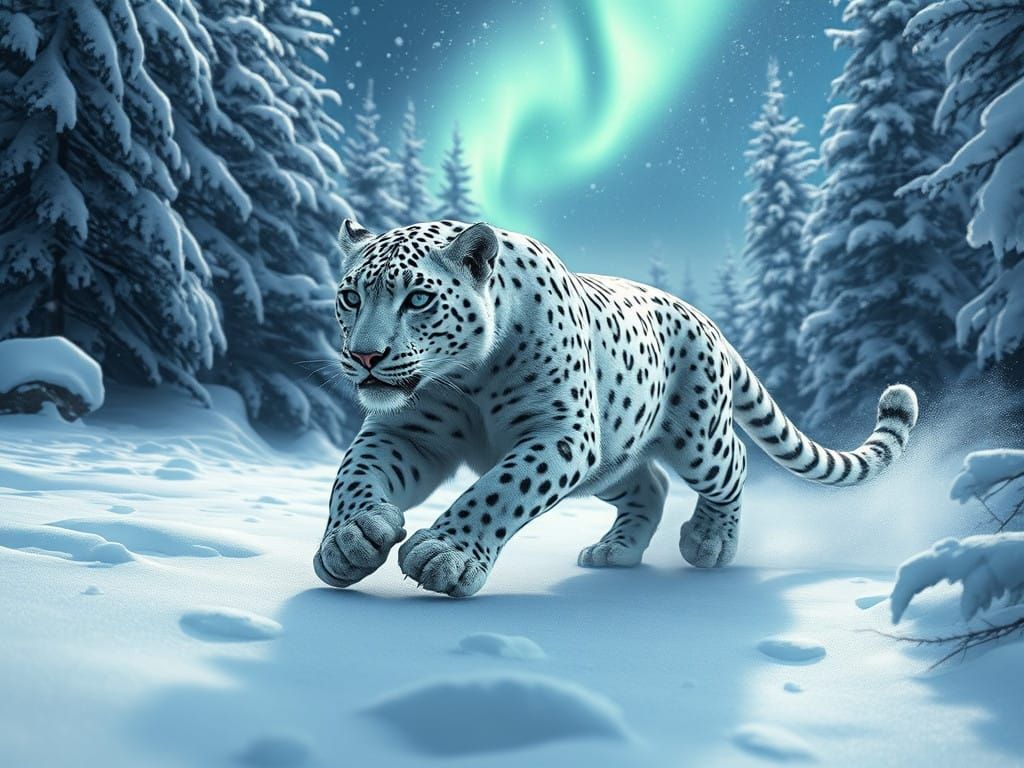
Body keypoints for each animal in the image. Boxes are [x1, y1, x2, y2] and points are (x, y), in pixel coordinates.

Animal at [313, 218, 919, 597]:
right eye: (351, 297)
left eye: (418, 299)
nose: (365, 356)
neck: (465, 378)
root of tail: (707, 320)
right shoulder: (404, 432)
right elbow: (354, 476)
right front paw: (351, 539)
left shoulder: (560, 434)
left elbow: (498, 490)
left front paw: (444, 554)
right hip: (611, 460)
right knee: (651, 485)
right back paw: (615, 551)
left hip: (697, 440)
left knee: (735, 465)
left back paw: (710, 543)